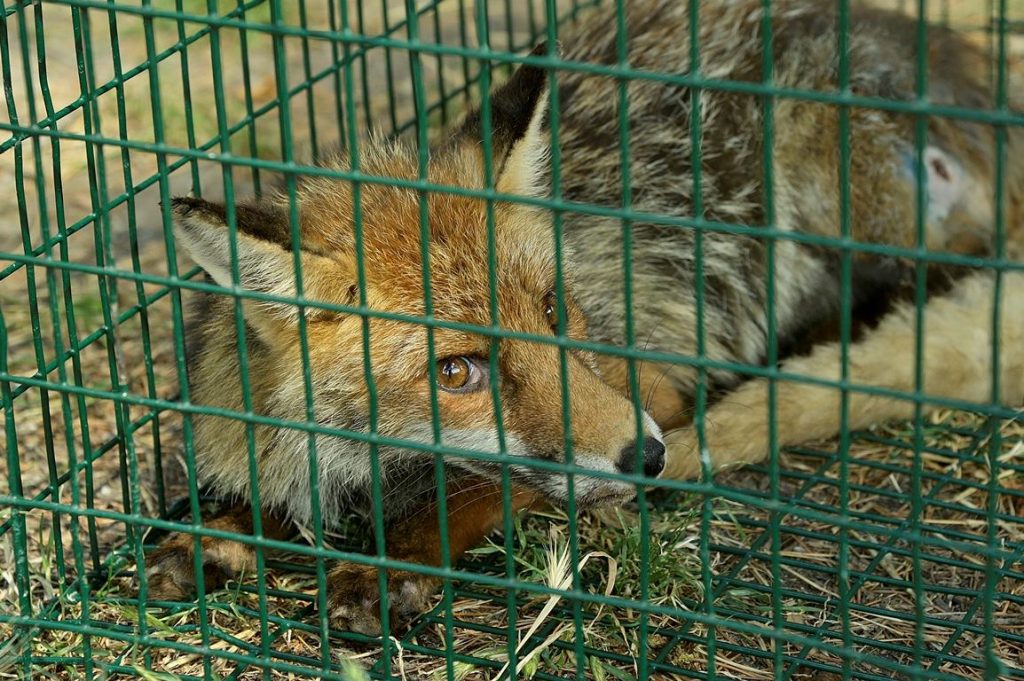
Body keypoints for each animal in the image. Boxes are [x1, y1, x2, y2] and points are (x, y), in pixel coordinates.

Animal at [147, 0, 1024, 635]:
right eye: (456, 371)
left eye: (553, 309)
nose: (650, 455)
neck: (374, 465)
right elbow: (266, 491)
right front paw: (214, 532)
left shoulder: (651, 385)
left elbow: (477, 490)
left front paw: (385, 566)